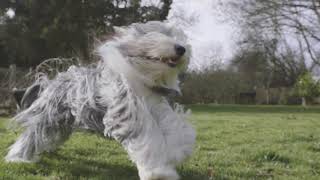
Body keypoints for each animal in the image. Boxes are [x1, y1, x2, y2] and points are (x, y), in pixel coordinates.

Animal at [5, 21, 195, 180]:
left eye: (174, 36)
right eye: (155, 35)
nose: (181, 48)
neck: (140, 77)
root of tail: (53, 82)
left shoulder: (159, 108)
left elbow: (175, 132)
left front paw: (174, 153)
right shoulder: (127, 113)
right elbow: (147, 139)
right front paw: (158, 173)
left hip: (62, 123)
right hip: (48, 118)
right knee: (31, 136)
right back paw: (17, 158)